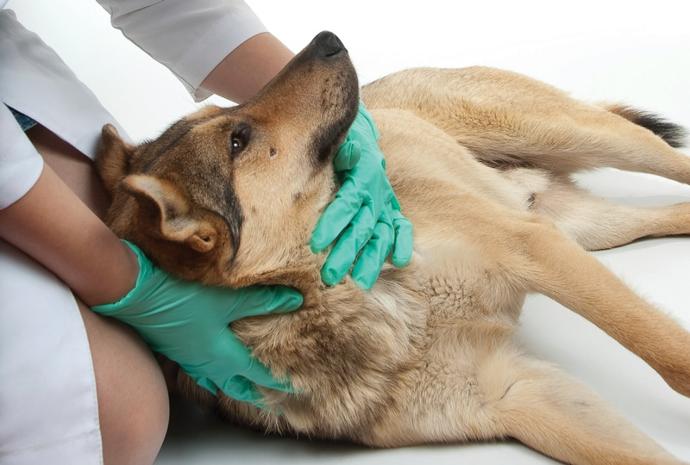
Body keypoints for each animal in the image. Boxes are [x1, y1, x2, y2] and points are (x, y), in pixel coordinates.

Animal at [96, 31, 690, 465]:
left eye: (230, 123)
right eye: (237, 141)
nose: (327, 38)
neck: (342, 296)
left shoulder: (532, 248)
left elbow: (671, 359)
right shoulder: (519, 393)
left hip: (580, 143)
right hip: (586, 226)